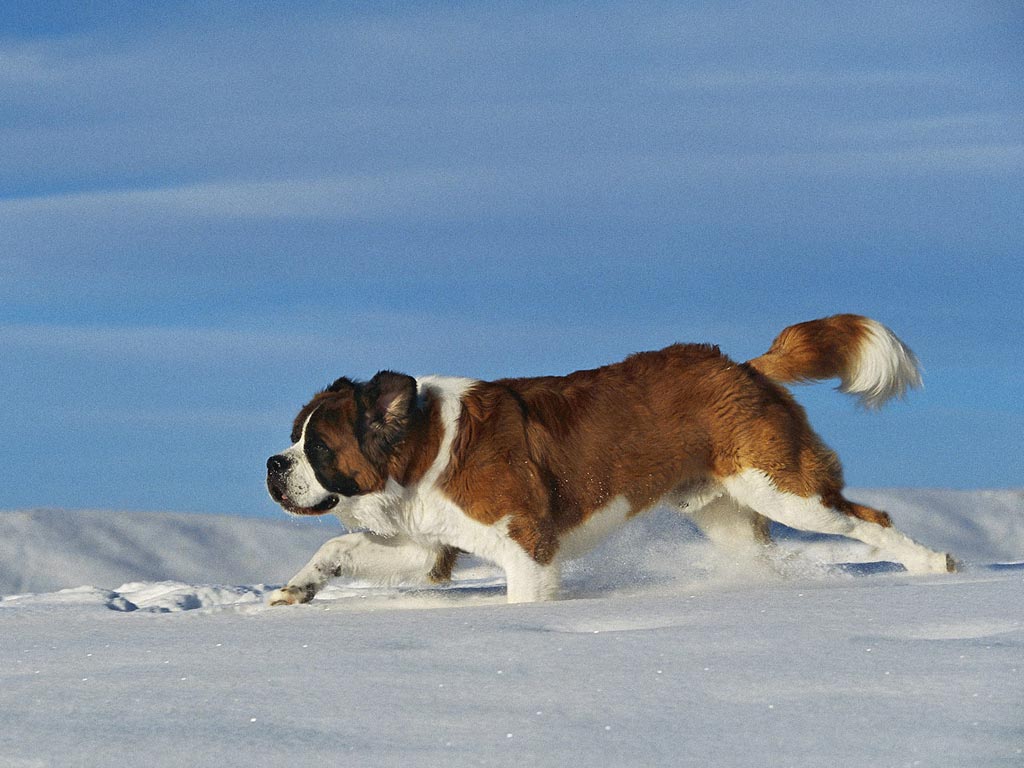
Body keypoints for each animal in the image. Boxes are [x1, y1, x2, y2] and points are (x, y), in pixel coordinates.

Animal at [264, 313, 950, 606]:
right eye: (294, 438)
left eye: (317, 448)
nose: (273, 464)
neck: (424, 447)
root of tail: (741, 366)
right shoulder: (429, 547)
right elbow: (340, 547)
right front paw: (299, 588)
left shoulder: (527, 546)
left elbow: (524, 596)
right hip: (726, 514)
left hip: (784, 488)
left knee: (871, 520)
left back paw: (935, 566)